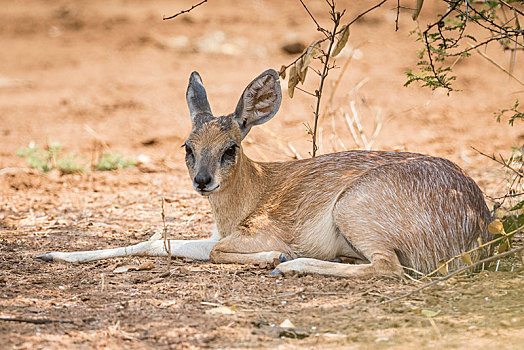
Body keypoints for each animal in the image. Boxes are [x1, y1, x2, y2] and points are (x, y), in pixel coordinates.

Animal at [36, 67, 492, 276]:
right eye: (187, 147)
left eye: (231, 148)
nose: (203, 181)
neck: (249, 198)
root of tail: (479, 227)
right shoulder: (215, 235)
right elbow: (157, 242)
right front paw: (51, 252)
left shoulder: (255, 234)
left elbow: (216, 252)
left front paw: (277, 255)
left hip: (353, 211)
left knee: (388, 267)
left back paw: (288, 265)